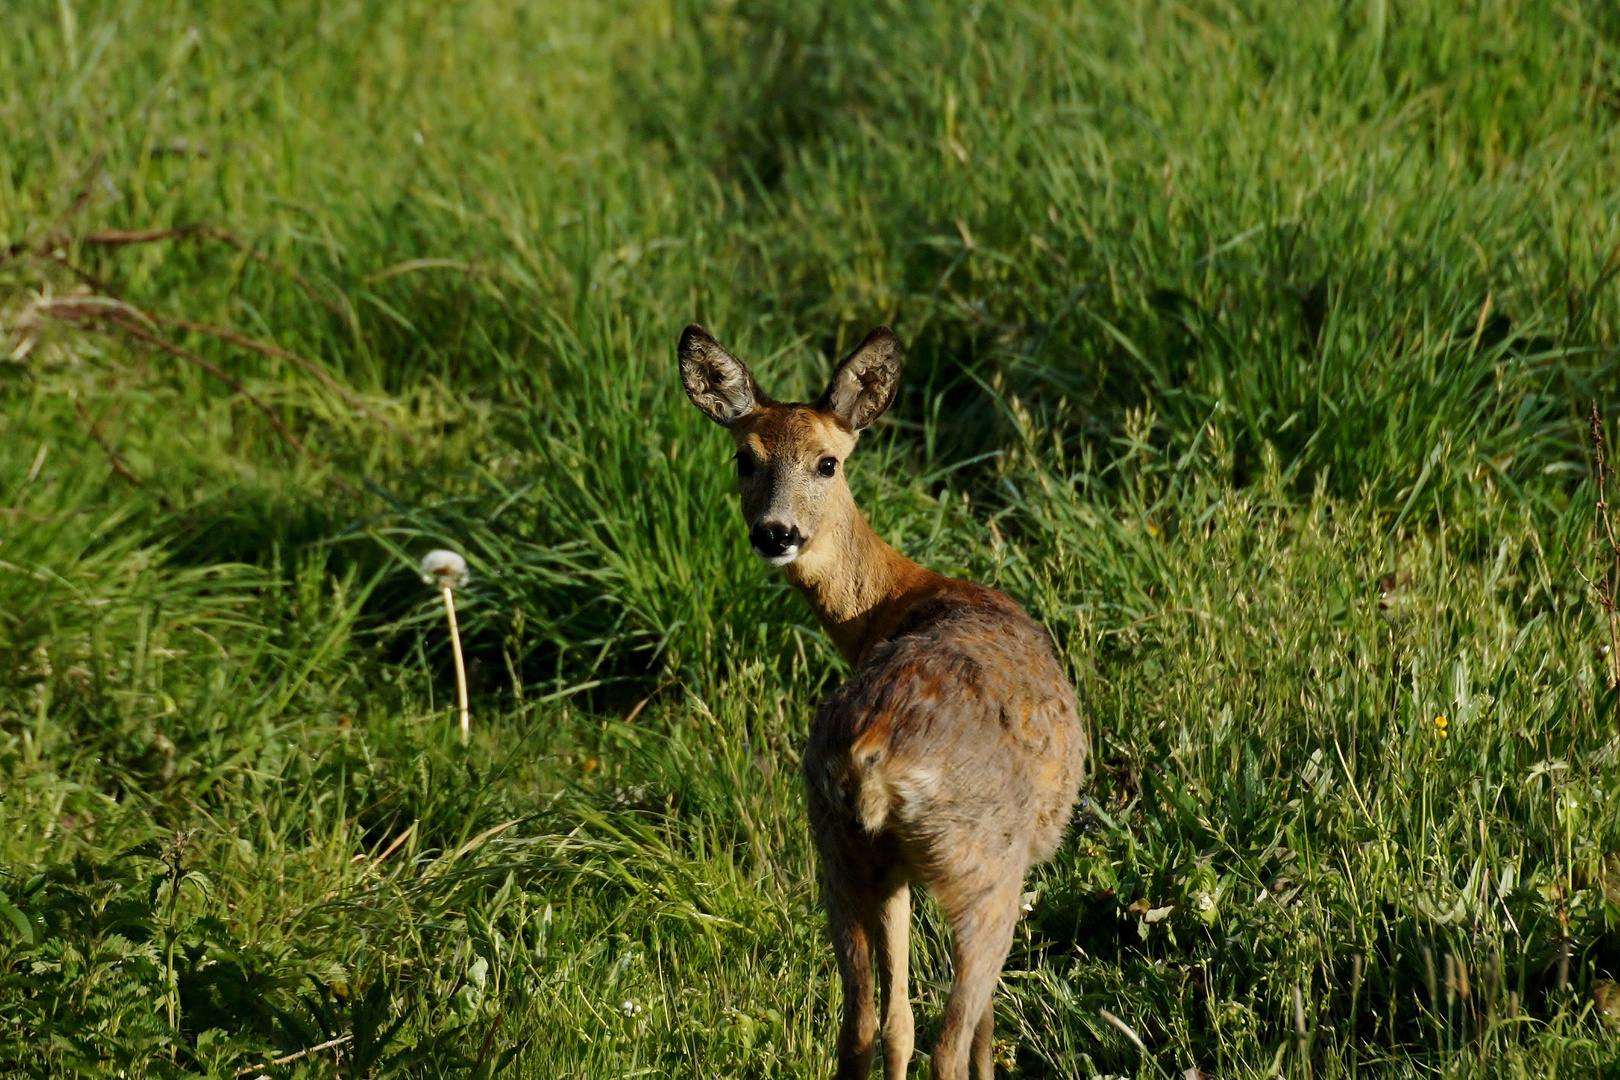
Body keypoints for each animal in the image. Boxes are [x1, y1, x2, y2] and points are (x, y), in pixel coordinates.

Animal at [677, 325, 1095, 1075]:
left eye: (828, 463)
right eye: (744, 459)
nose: (776, 533)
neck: (898, 602)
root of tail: (873, 754)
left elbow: (894, 1019)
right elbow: (980, 1025)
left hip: (837, 849)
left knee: (865, 1024)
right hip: (985, 868)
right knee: (952, 1035)